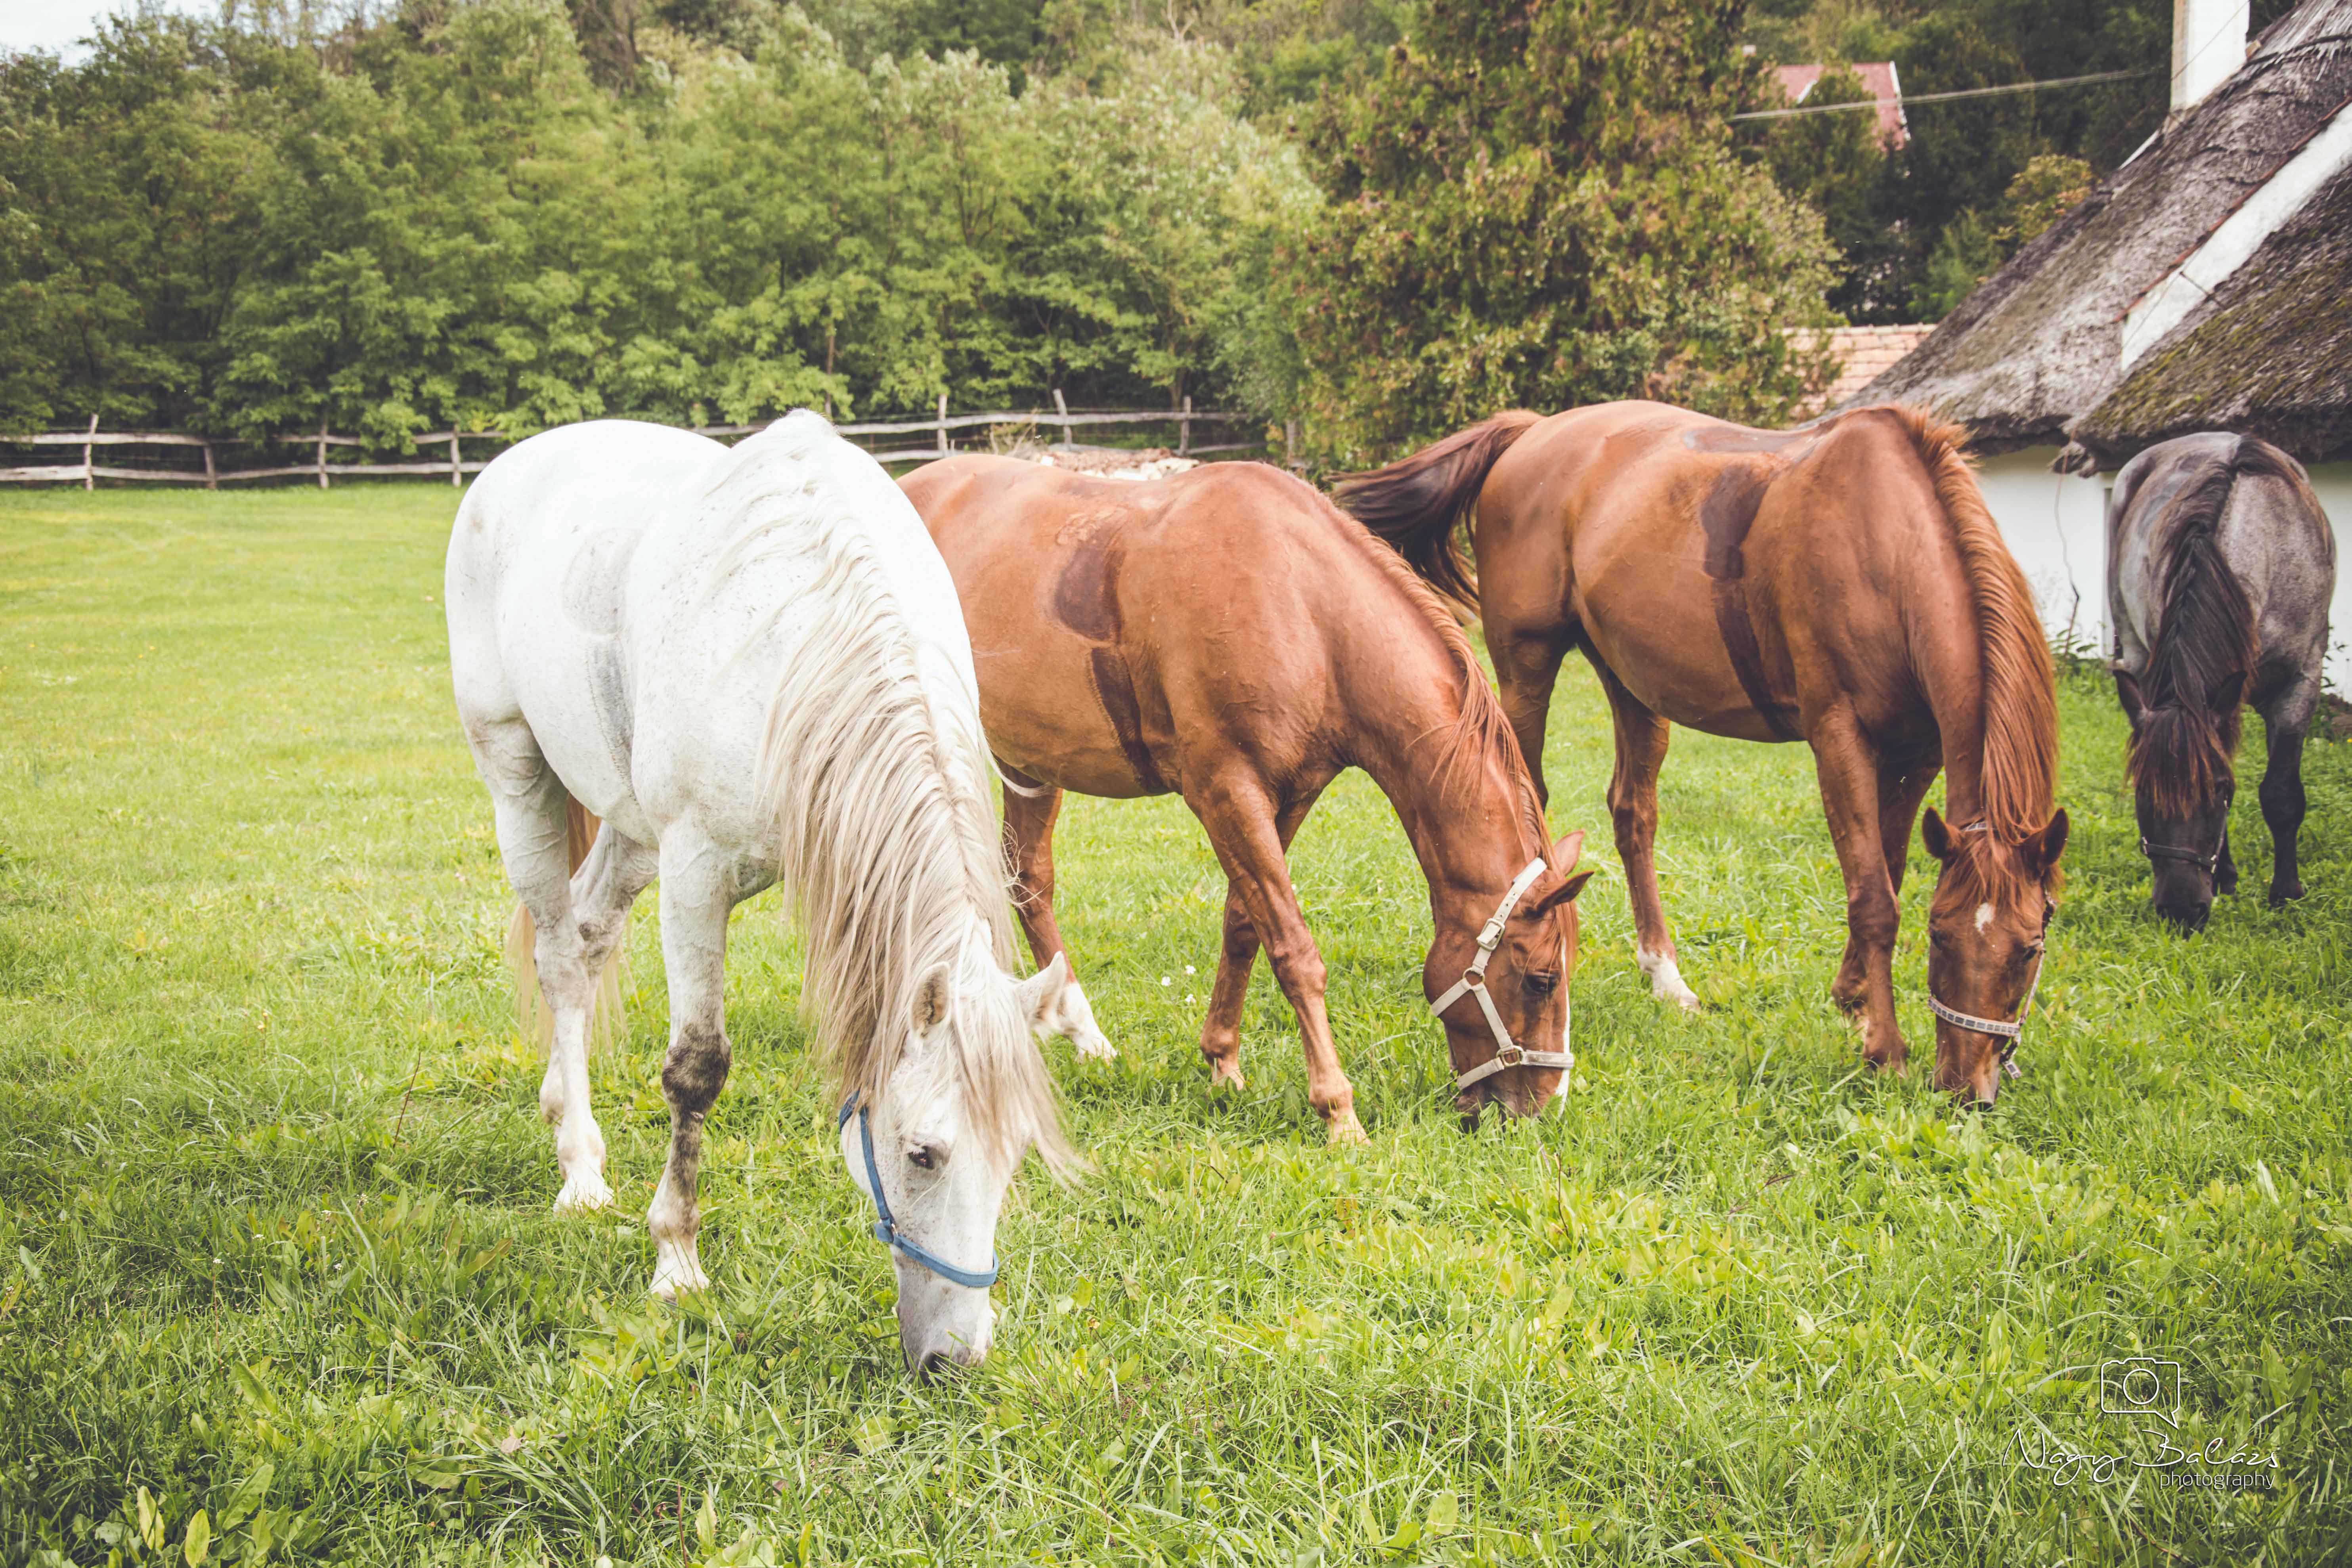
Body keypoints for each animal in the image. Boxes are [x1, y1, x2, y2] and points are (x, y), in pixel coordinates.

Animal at [444, 411, 1077, 1363]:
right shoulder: (695, 875)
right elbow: (696, 1070)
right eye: (922, 1154)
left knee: (588, 939)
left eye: (1014, 1159)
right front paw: (676, 1260)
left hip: (630, 828)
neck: (805, 632)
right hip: (516, 775)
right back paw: (581, 1171)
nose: (955, 1359)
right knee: (557, 956)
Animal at [898, 453, 1599, 1142]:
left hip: (1028, 763)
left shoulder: (1288, 796)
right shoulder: (1225, 793)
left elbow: (1243, 926)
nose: (1542, 1109)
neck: (1307, 611)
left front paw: (1223, 1064)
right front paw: (1338, 1112)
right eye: (1541, 978)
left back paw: (1078, 1036)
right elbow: (1293, 949)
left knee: (1028, 882)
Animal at [1336, 400, 2069, 1100]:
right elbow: (1873, 898)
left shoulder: (1916, 753)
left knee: (1632, 815)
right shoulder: (1837, 735)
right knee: (1534, 797)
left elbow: (1885, 869)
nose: (1967, 1087)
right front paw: (1882, 1047)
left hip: (1628, 677)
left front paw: (1852, 994)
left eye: (2032, 947)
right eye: (1941, 934)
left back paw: (1665, 975)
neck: (1886, 539)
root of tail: (1532, 431)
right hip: (1526, 664)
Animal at [2117, 432, 2333, 931]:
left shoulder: (2301, 682)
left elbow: (2281, 793)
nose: (2180, 911)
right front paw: (2225, 878)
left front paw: (2286, 893)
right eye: (2143, 791)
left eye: (2218, 789)